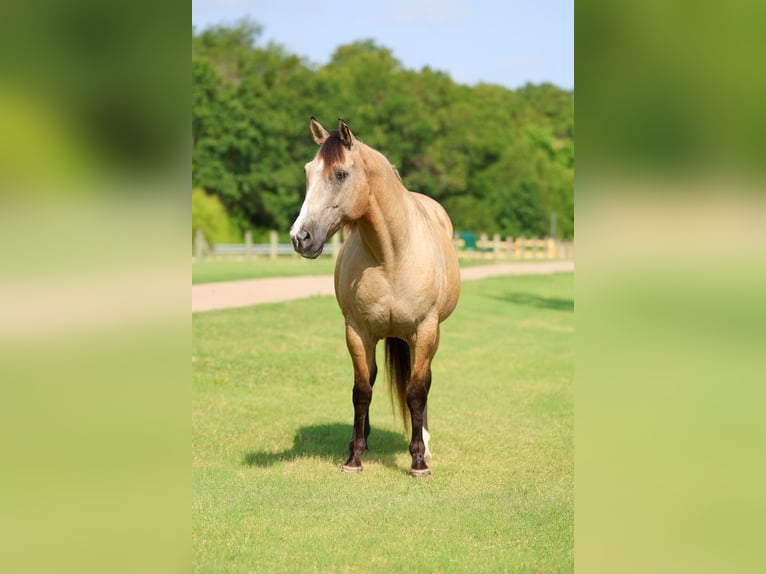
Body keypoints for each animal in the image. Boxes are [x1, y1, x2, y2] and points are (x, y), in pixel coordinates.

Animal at [289, 117, 460, 477]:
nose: (300, 237)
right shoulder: (357, 332)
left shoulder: (424, 330)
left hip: (430, 336)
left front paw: (419, 460)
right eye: (308, 171)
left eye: (340, 174)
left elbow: (416, 391)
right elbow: (362, 390)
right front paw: (354, 458)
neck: (391, 254)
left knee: (424, 383)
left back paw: (424, 441)